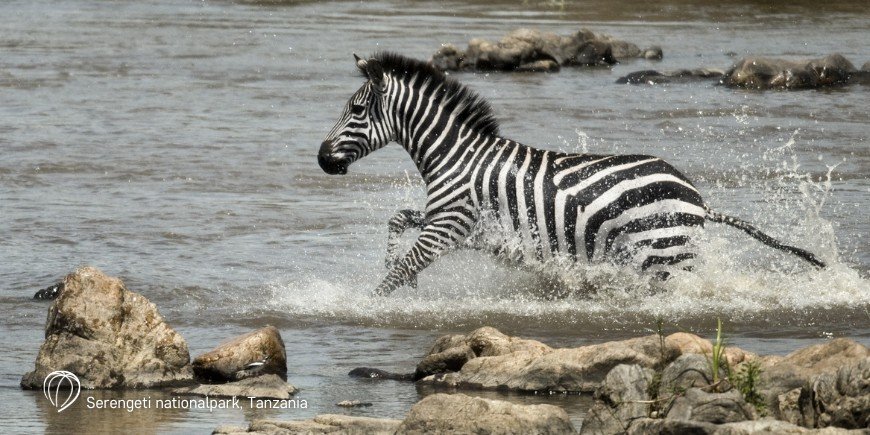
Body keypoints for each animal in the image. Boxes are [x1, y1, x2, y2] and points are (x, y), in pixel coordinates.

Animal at [316, 51, 828, 296]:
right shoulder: (463, 225)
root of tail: (698, 198)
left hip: (663, 253)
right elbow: (398, 223)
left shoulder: (449, 224)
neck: (456, 155)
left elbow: (401, 268)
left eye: (356, 111)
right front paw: (396, 275)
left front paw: (370, 304)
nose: (322, 159)